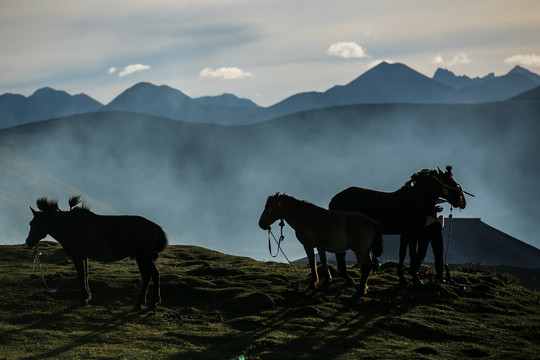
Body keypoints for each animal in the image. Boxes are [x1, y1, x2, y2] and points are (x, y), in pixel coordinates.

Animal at [24, 197, 167, 310]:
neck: (70, 226)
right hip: (143, 258)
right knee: (152, 275)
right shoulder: (84, 257)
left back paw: (145, 302)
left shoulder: (77, 256)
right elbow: (86, 275)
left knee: (150, 275)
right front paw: (88, 297)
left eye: (33, 223)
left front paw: (83, 299)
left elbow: (81, 276)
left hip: (142, 257)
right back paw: (148, 301)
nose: (28, 242)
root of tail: (157, 228)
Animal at [326, 166, 466, 284]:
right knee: (341, 253)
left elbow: (402, 254)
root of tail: (335, 199)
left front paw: (402, 277)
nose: (459, 201)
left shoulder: (405, 233)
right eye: (451, 182)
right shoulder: (413, 233)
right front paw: (416, 279)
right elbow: (412, 254)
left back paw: (346, 277)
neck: (416, 199)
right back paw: (347, 278)